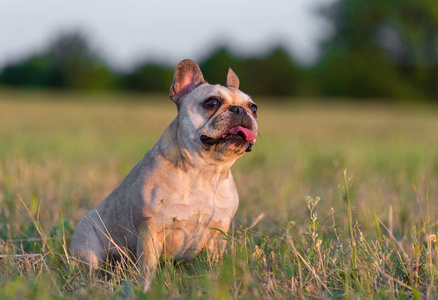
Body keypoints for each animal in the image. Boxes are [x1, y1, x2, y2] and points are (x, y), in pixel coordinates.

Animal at [70, 58, 258, 286]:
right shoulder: (150, 231)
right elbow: (147, 265)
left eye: (254, 108)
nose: (240, 110)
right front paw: (145, 286)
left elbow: (214, 261)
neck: (204, 172)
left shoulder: (218, 234)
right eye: (212, 103)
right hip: (88, 247)